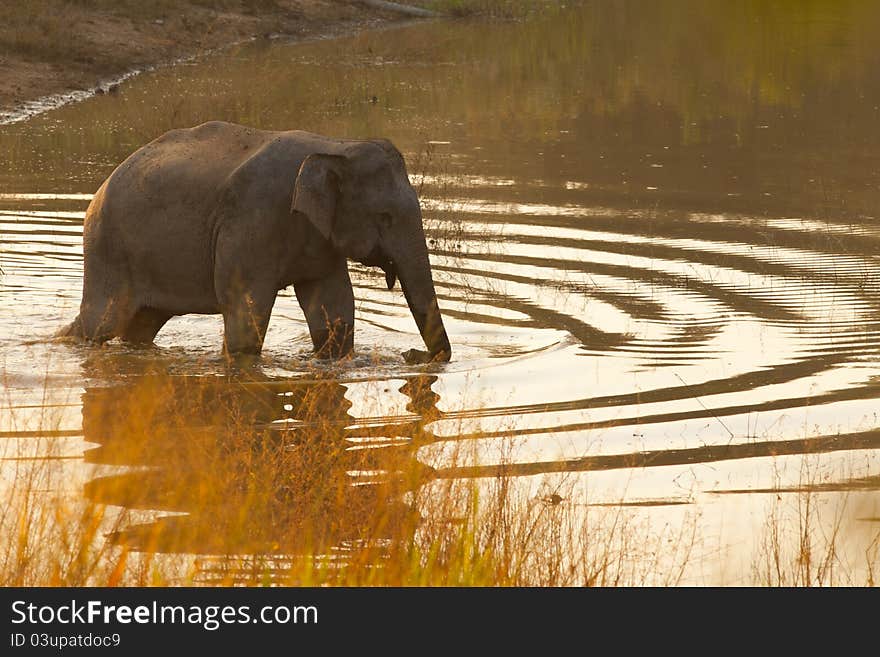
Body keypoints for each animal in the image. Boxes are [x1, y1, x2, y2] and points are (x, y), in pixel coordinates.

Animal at [58, 120, 450, 362]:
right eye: (384, 217)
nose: (412, 355)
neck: (334, 146)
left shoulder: (319, 239)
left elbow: (334, 307)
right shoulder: (252, 220)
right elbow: (246, 311)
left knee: (140, 324)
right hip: (109, 250)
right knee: (102, 322)